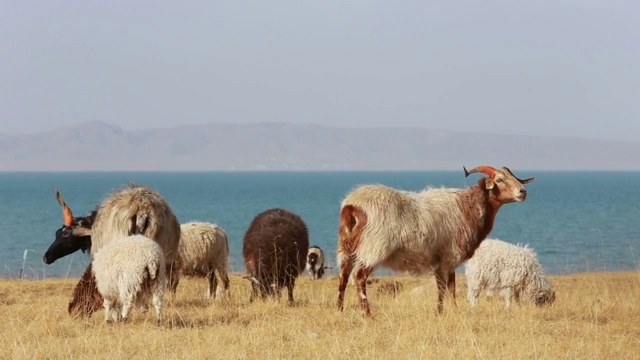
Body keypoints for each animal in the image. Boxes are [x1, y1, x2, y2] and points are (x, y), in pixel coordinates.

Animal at [336, 164, 536, 316]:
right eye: (500, 180)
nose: (523, 191)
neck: (469, 207)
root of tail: (353, 205)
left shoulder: (440, 261)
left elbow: (445, 287)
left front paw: (444, 311)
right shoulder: (450, 256)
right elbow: (447, 287)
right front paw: (447, 311)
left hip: (347, 246)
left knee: (344, 276)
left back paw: (339, 309)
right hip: (374, 247)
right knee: (359, 277)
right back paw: (367, 314)